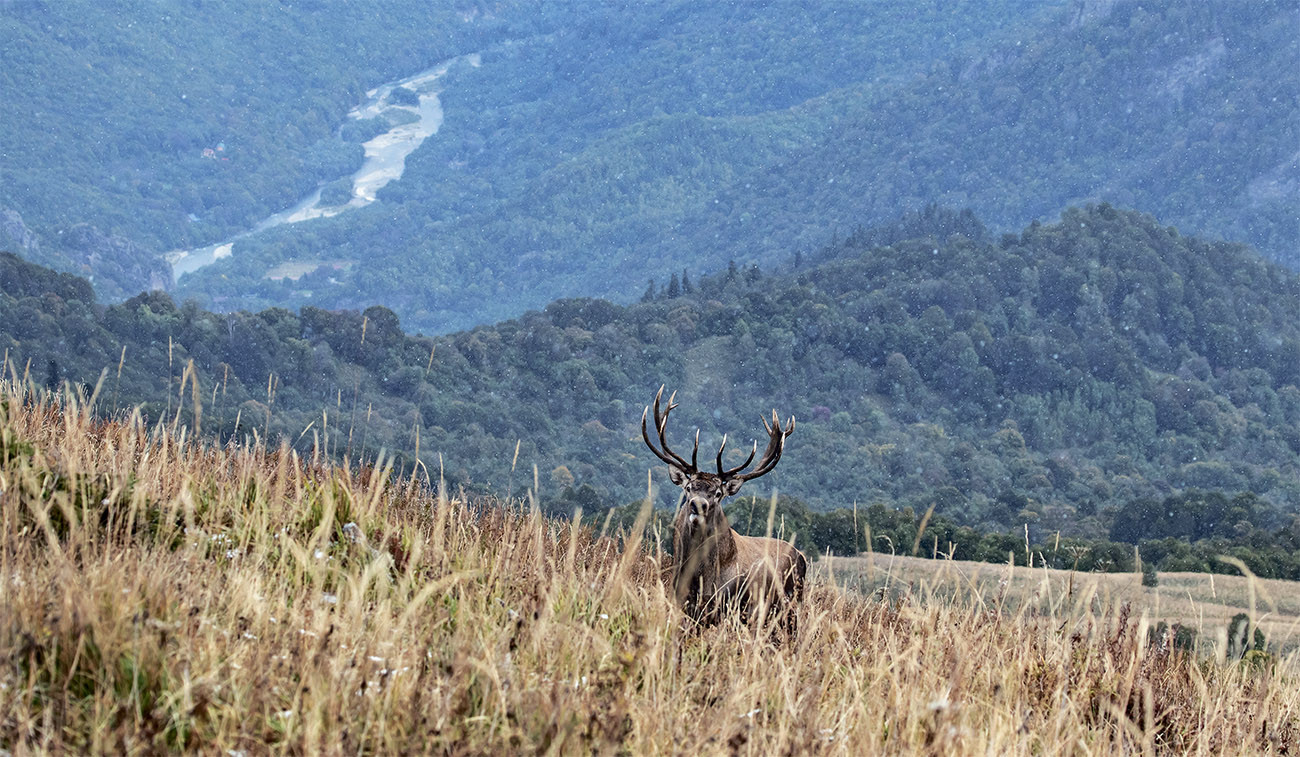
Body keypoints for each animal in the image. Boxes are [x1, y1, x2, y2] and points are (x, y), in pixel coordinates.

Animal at [641, 386, 806, 636]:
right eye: (688, 488)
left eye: (718, 493)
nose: (698, 504)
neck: (700, 578)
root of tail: (802, 556)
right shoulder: (682, 603)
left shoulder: (727, 608)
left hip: (790, 606)